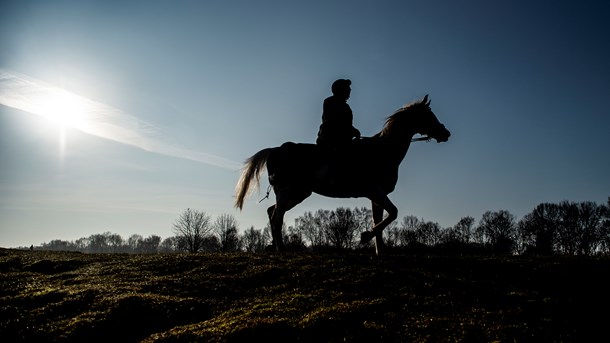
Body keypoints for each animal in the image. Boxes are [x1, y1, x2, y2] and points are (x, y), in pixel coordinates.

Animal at [235, 95, 448, 254]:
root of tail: (276, 150)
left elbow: (380, 220)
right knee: (277, 217)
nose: (446, 133)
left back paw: (274, 246)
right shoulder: (375, 191)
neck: (382, 151)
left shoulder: (376, 196)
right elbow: (393, 213)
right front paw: (365, 237)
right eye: (428, 115)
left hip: (298, 193)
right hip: (286, 190)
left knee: (272, 212)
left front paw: (380, 251)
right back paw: (281, 249)